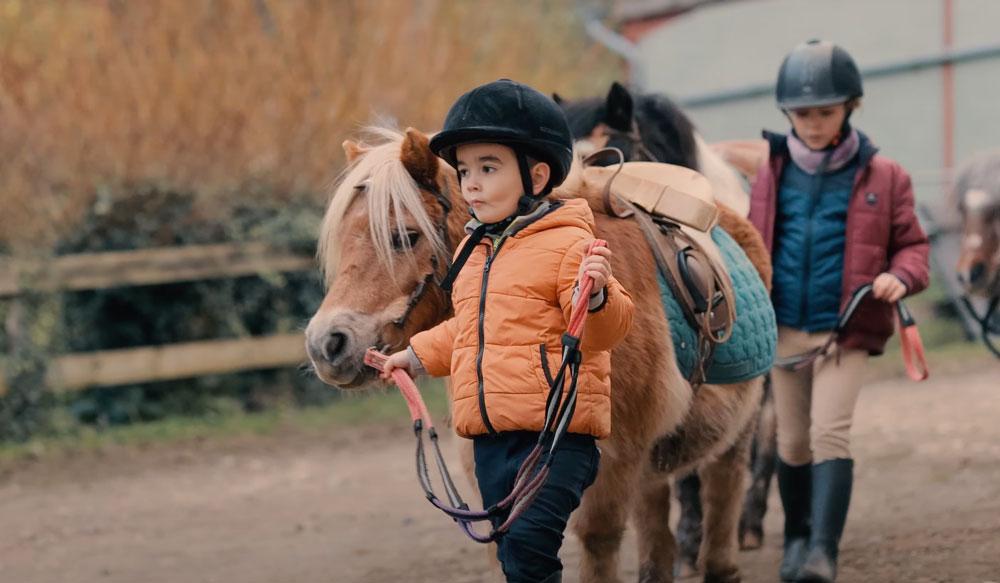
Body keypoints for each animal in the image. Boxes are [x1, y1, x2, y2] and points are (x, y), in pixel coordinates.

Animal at [308, 125, 768, 580]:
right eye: (341, 243)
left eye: (405, 236)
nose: (325, 344)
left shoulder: (614, 463)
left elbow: (596, 544)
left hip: (733, 436)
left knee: (723, 504)